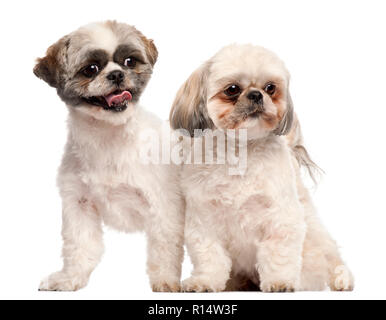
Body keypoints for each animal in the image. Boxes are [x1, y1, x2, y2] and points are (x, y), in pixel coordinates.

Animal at [34, 21, 185, 292]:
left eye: (129, 61)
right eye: (90, 69)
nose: (116, 75)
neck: (108, 139)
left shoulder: (163, 204)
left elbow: (165, 246)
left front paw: (166, 280)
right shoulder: (79, 204)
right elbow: (80, 246)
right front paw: (69, 278)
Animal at [170, 44, 354, 292]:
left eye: (270, 87)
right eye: (232, 89)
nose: (257, 94)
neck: (241, 153)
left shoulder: (280, 218)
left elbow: (278, 254)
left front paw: (280, 282)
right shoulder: (204, 219)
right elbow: (210, 256)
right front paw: (205, 281)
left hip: (313, 230)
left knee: (330, 254)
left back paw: (341, 278)